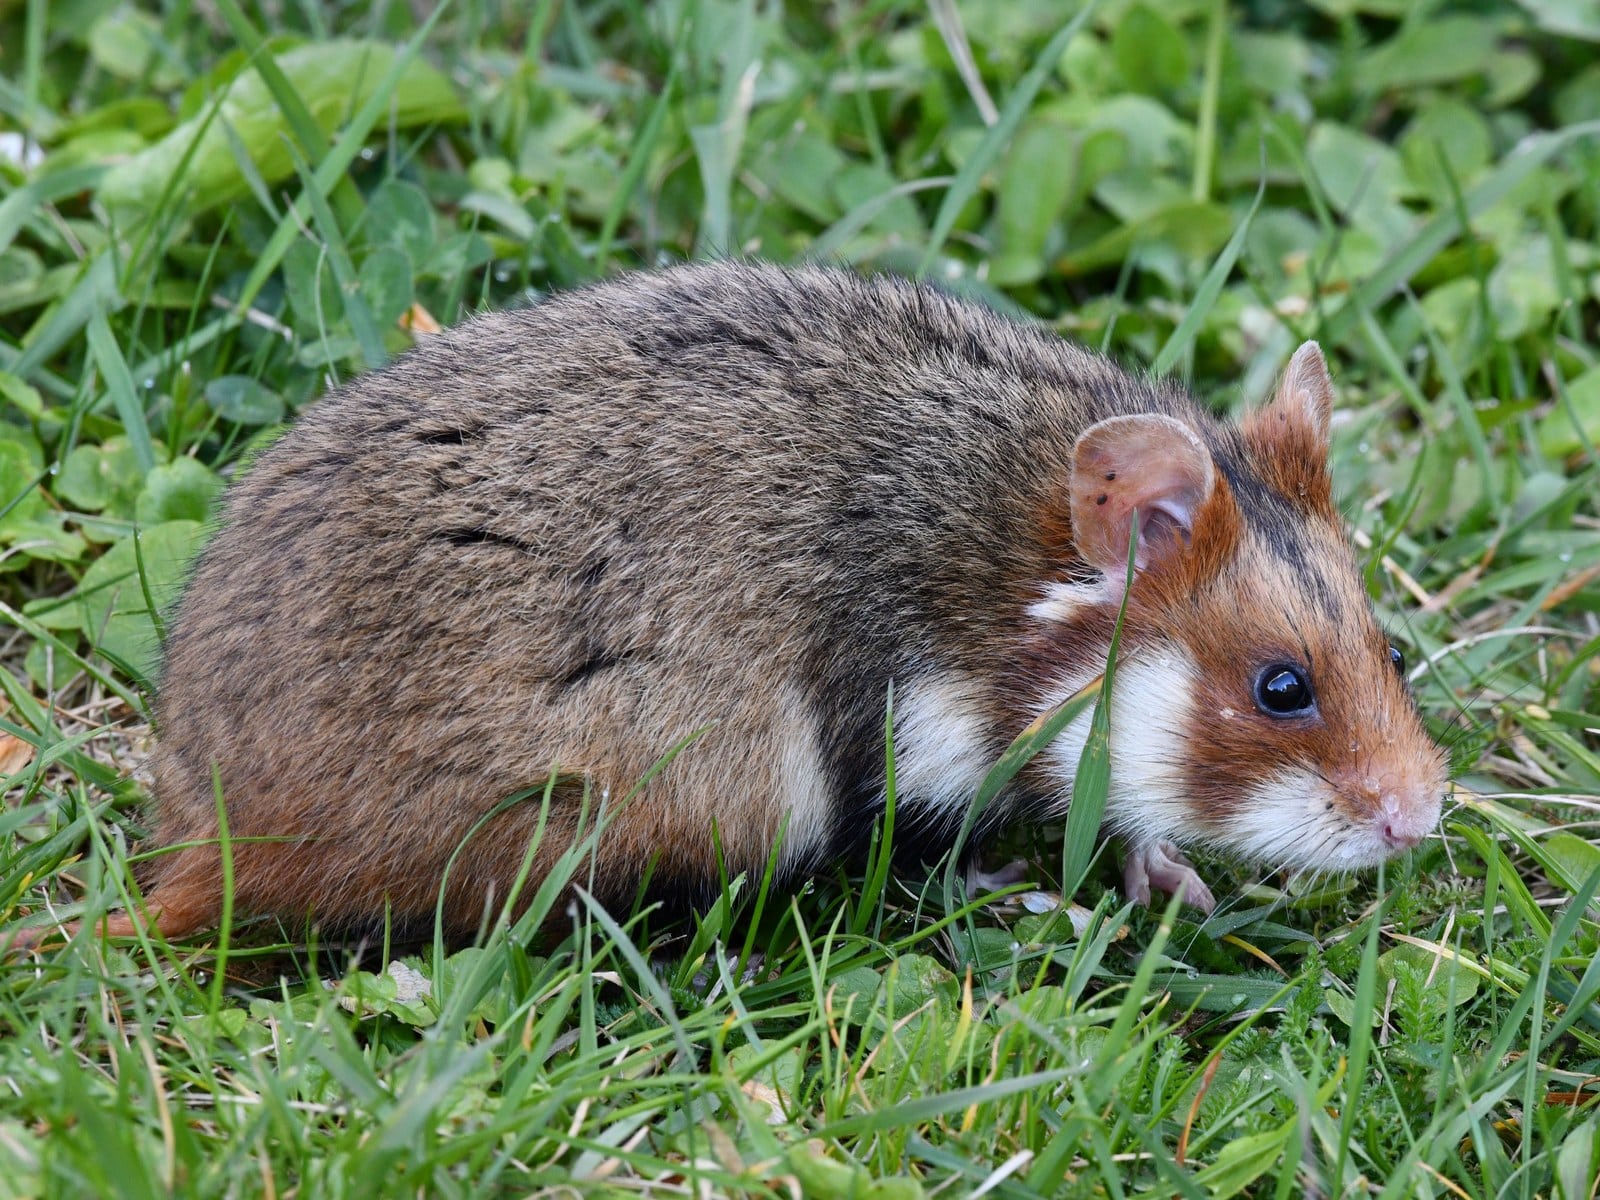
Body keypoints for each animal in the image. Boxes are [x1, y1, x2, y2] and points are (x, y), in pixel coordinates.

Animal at [45, 262, 1447, 946]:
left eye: (1389, 647)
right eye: (1280, 688)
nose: (1422, 822)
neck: (999, 575)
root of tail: (203, 854)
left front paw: (1171, 877)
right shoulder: (902, 752)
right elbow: (949, 859)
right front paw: (1047, 892)